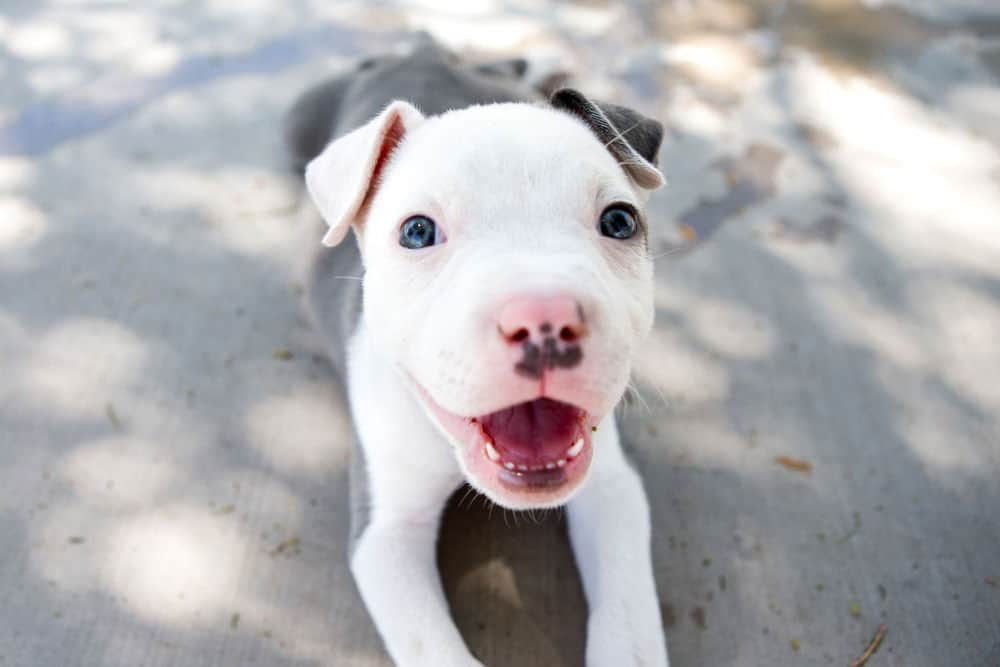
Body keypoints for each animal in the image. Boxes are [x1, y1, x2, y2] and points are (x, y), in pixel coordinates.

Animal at [286, 37, 668, 667]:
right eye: (417, 231)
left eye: (619, 220)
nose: (545, 316)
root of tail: (419, 49)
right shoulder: (386, 535)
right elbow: (436, 649)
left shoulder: (612, 487)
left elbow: (629, 624)